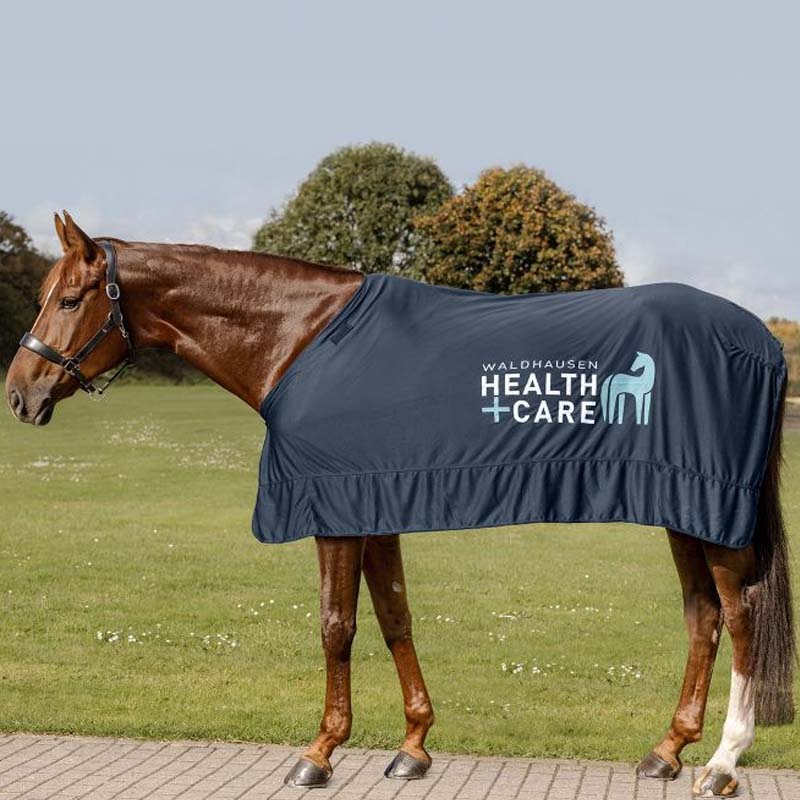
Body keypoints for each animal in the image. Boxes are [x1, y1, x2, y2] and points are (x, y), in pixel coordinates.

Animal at [4, 213, 795, 797]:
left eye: (69, 300)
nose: (19, 394)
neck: (299, 336)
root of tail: (760, 340)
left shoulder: (334, 508)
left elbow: (336, 627)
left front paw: (319, 752)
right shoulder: (373, 502)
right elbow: (393, 617)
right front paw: (413, 745)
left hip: (713, 514)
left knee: (741, 617)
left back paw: (722, 763)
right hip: (683, 507)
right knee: (702, 616)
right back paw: (666, 750)